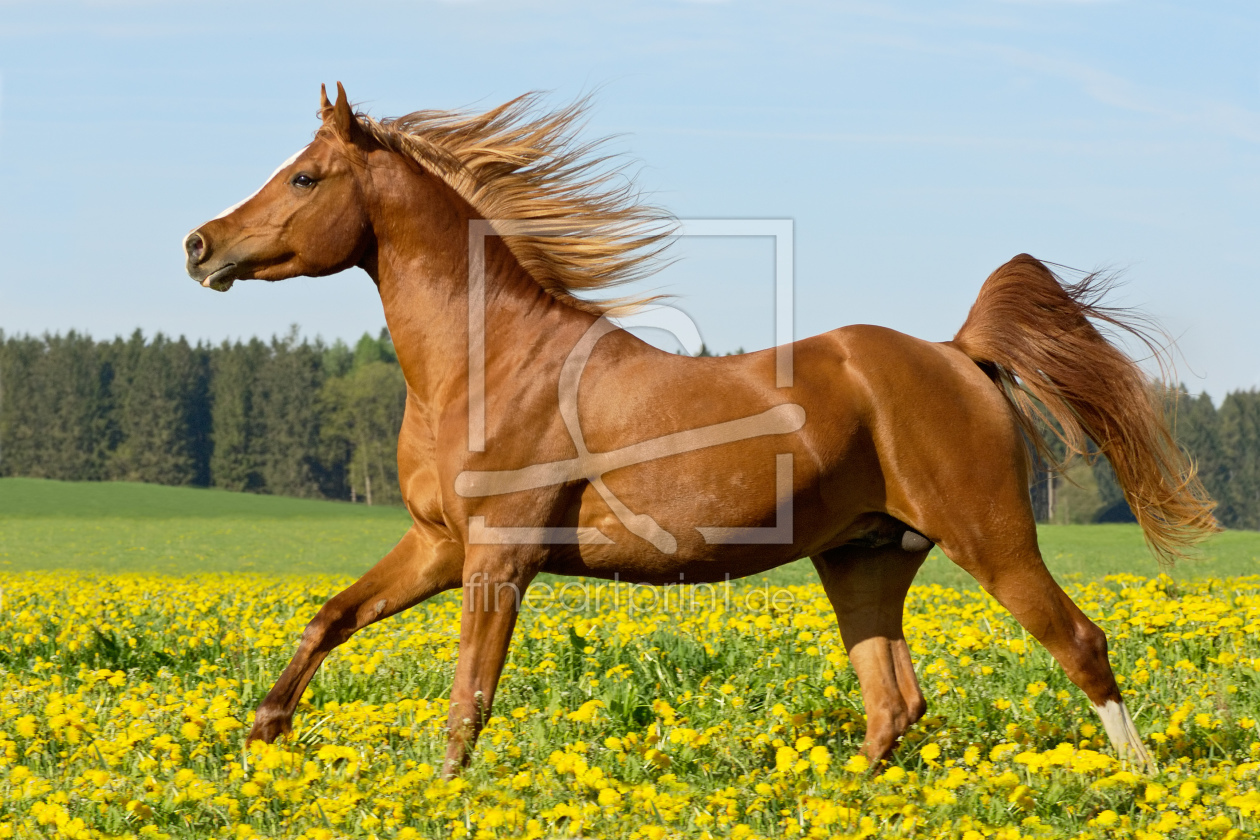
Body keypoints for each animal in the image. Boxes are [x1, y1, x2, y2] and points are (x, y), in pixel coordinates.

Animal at [182, 85, 1214, 775]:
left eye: (304, 176)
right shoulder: (437, 545)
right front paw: (263, 735)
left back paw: (1138, 783)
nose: (199, 245)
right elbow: (329, 618)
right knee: (895, 702)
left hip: (991, 537)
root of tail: (956, 352)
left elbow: (468, 700)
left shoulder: (497, 557)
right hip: (864, 558)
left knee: (1080, 644)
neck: (488, 365)